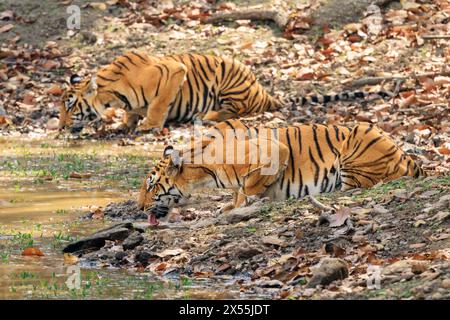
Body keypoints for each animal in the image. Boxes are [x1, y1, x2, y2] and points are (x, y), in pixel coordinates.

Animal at [137, 119, 426, 226]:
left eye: (151, 186)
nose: (139, 208)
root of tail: (406, 155)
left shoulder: (276, 150)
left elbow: (247, 186)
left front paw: (243, 205)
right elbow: (237, 191)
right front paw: (228, 207)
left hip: (359, 139)